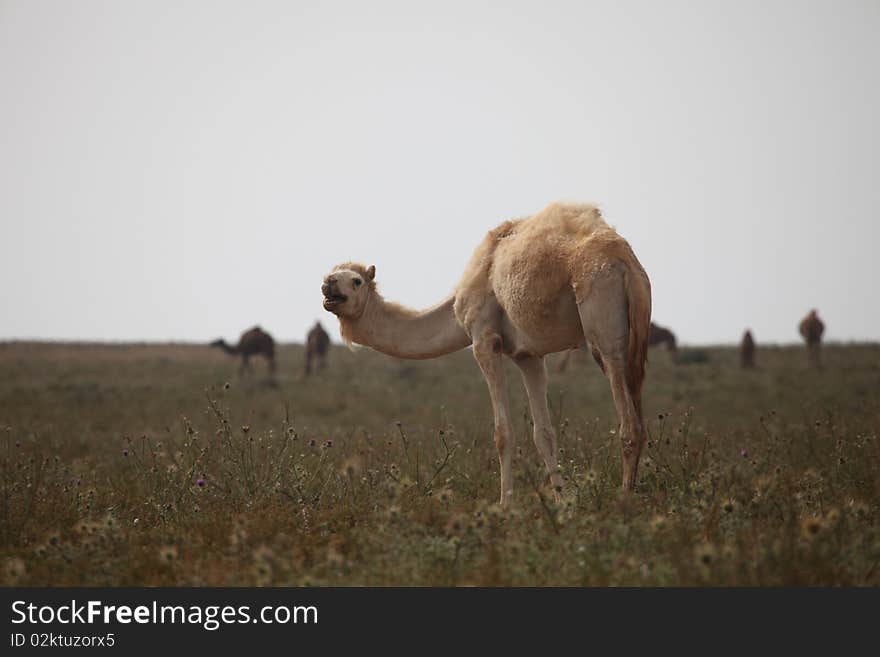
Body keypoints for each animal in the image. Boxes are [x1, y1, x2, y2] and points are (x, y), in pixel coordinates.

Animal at [324, 202, 652, 504]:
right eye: (331, 276)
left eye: (356, 281)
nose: (328, 286)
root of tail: (626, 262)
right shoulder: (527, 355)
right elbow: (543, 434)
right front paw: (563, 502)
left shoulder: (484, 339)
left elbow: (502, 434)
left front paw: (505, 505)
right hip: (634, 339)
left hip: (602, 324)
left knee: (629, 421)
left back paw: (624, 498)